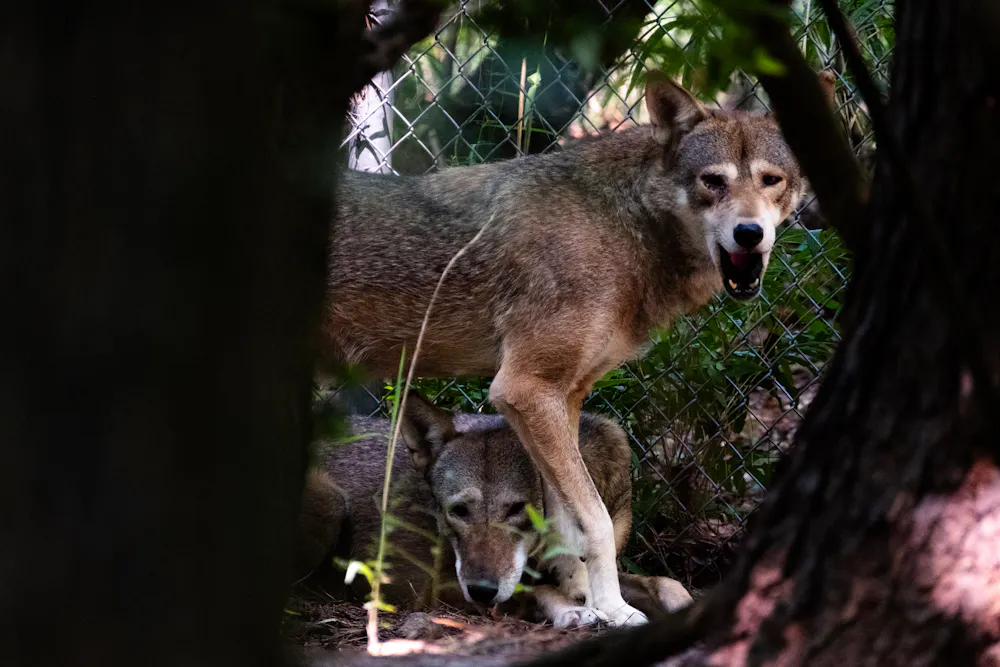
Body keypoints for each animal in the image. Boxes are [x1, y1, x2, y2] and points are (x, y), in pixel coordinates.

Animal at [294, 391, 692, 627]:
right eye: (458, 511)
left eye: (517, 509)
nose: (482, 591)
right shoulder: (436, 588)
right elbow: (536, 592)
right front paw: (572, 610)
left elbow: (666, 582)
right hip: (331, 502)